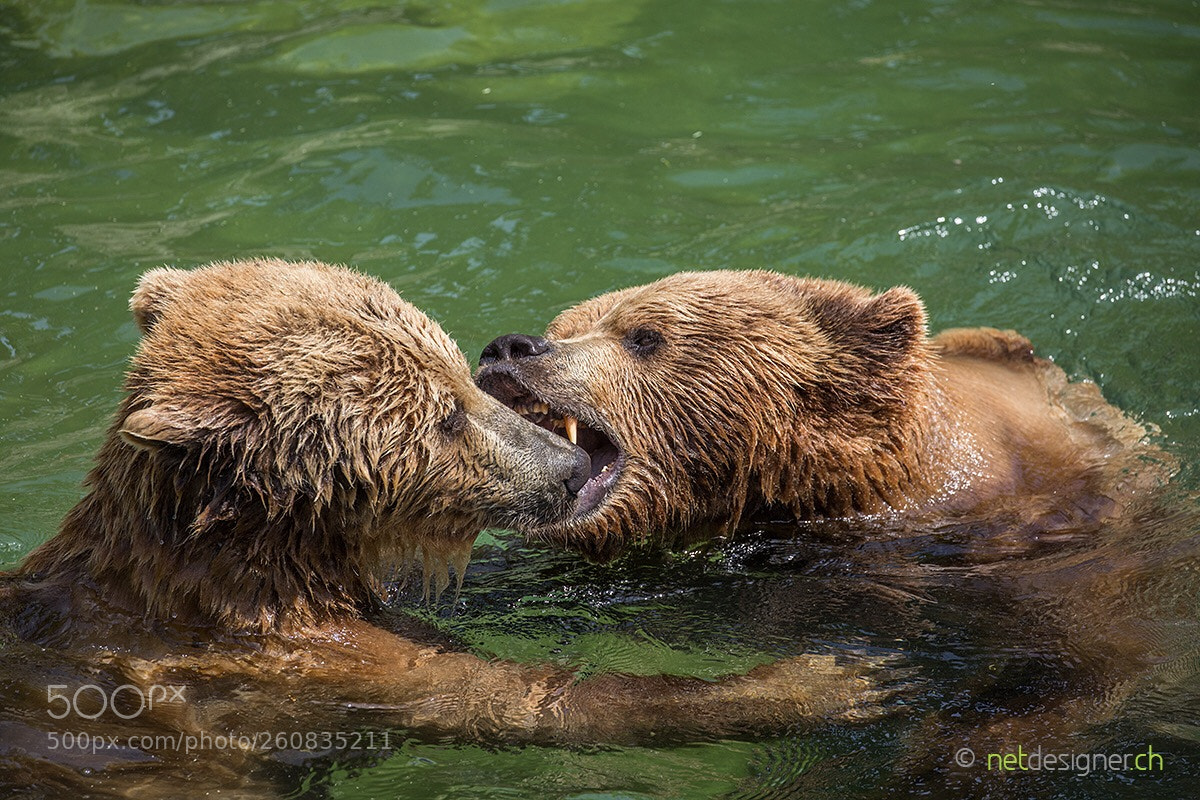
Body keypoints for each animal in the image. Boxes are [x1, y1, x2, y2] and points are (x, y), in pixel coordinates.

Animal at [0, 260, 886, 796]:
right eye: (446, 417)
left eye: (459, 378)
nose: (566, 468)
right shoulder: (309, 665)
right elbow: (523, 698)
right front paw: (825, 682)